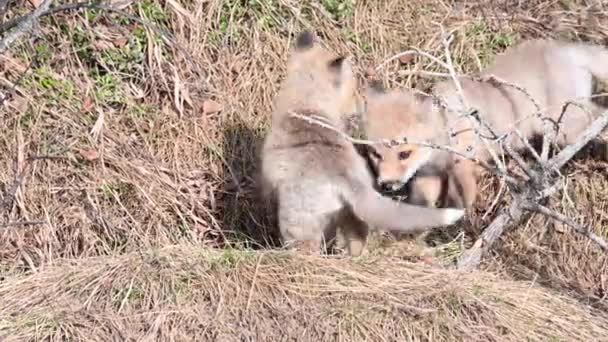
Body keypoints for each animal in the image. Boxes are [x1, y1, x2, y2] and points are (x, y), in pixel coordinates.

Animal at [258, 31, 464, 256]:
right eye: (352, 91)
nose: (359, 108)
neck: (306, 106)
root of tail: (348, 179)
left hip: (298, 224)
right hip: (351, 214)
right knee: (357, 241)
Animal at [364, 39, 604, 211]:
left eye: (404, 154)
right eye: (376, 154)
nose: (386, 184)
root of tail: (564, 47)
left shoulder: (464, 160)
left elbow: (463, 197)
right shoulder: (429, 175)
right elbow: (423, 204)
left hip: (563, 128)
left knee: (599, 118)